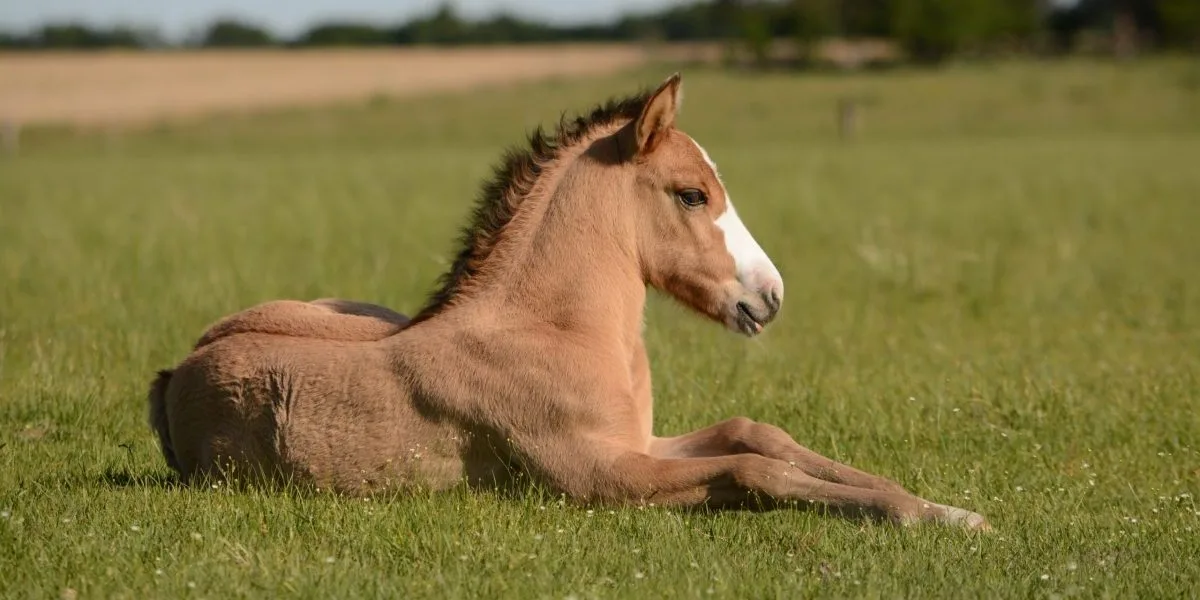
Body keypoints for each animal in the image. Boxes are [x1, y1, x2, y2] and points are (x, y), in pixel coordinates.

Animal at [148, 74, 989, 530]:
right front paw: (925, 516)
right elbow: (757, 471)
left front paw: (941, 507)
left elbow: (759, 435)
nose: (770, 296)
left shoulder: (641, 443)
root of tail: (174, 371)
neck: (553, 331)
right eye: (692, 193)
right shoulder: (601, 476)